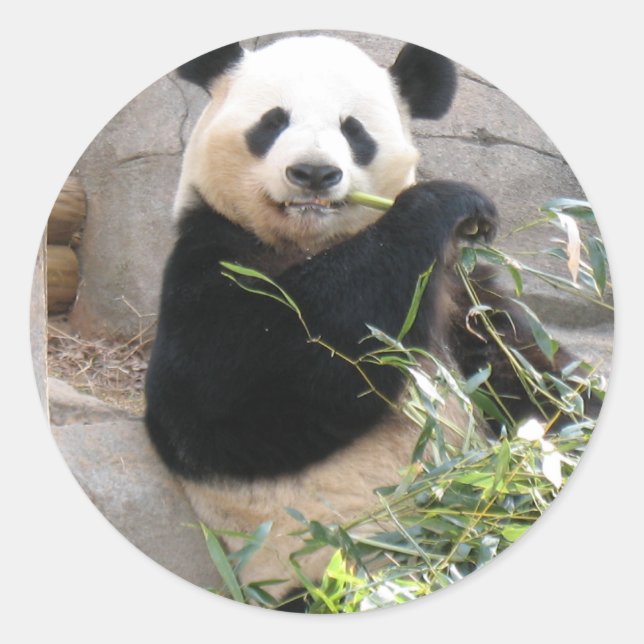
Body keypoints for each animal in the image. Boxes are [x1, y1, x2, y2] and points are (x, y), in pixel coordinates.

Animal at [144, 35, 579, 610]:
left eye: (354, 131)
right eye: (272, 122)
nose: (312, 173)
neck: (312, 242)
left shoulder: (458, 293)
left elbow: (530, 374)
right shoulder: (213, 253)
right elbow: (227, 390)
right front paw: (450, 201)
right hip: (320, 578)